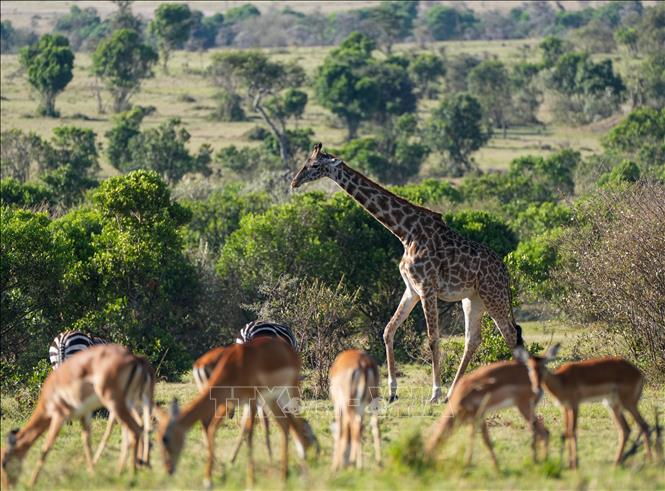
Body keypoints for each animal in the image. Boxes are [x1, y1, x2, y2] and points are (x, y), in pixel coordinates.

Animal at [0, 344, 152, 490]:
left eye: (4, 462)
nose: (8, 486)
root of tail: (136, 359)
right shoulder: (85, 415)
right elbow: (87, 443)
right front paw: (92, 474)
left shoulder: (59, 415)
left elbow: (46, 447)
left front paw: (31, 483)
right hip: (128, 403)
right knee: (136, 429)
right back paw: (126, 471)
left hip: (115, 403)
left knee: (135, 430)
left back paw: (132, 476)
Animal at [158, 338, 320, 488]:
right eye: (160, 439)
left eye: (165, 438)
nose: (168, 470)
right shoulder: (237, 402)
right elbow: (230, 429)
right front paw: (210, 479)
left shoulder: (251, 401)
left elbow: (249, 432)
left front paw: (250, 480)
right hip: (270, 398)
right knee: (286, 423)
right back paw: (285, 474)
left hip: (285, 392)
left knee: (288, 422)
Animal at [292, 143, 524, 404]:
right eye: (306, 162)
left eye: (314, 165)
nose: (294, 182)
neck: (405, 232)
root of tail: (505, 271)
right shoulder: (411, 289)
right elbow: (388, 330)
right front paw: (392, 391)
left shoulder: (426, 287)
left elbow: (432, 339)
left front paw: (434, 393)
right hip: (472, 299)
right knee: (472, 340)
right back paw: (452, 394)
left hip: (493, 295)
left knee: (509, 333)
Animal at [512, 344, 648, 470]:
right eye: (529, 367)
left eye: (543, 366)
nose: (537, 387)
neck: (561, 380)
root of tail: (639, 373)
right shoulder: (565, 407)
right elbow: (566, 431)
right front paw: (569, 463)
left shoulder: (575, 404)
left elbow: (572, 431)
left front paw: (574, 464)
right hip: (613, 405)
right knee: (626, 429)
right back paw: (617, 463)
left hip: (628, 403)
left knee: (643, 425)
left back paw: (650, 462)